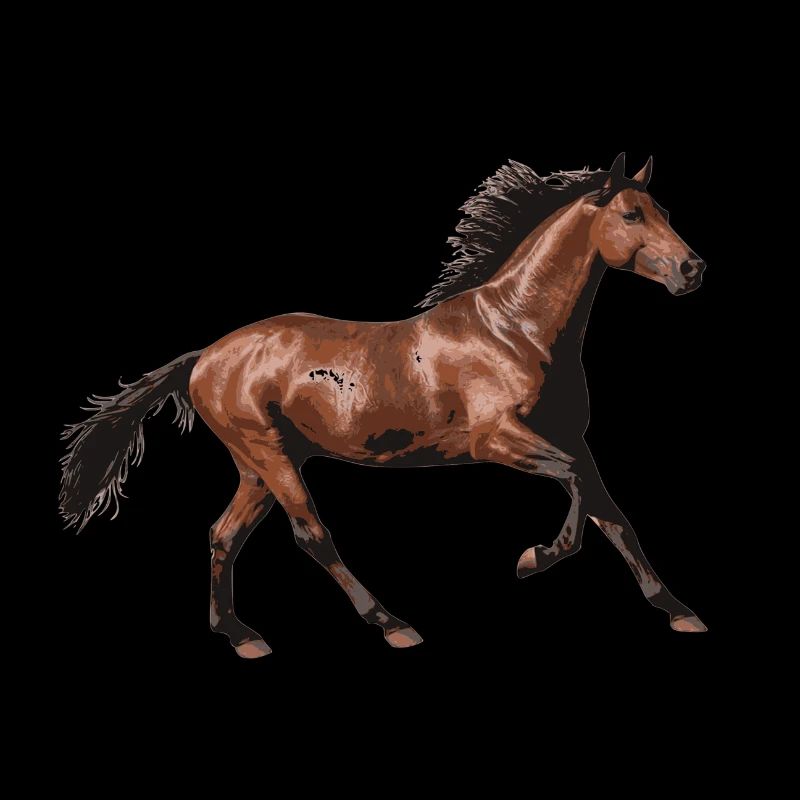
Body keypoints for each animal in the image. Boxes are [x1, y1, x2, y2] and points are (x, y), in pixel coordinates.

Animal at [59, 153, 708, 658]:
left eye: (666, 213)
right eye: (631, 215)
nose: (692, 268)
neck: (514, 331)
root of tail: (205, 357)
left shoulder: (571, 438)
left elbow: (611, 513)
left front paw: (680, 611)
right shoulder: (497, 439)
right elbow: (575, 489)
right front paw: (532, 558)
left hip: (259, 464)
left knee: (223, 533)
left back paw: (241, 636)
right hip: (268, 454)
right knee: (310, 533)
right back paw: (393, 625)